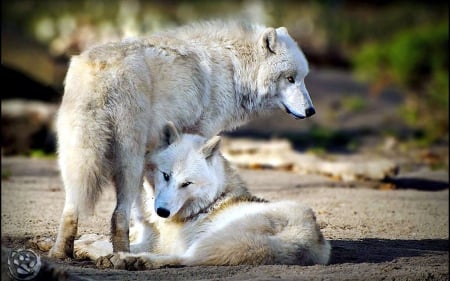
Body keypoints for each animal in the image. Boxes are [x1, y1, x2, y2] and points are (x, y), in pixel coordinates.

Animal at [50, 20, 316, 258]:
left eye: (303, 77)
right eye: (290, 78)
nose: (311, 111)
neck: (234, 69)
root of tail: (101, 67)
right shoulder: (200, 134)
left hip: (75, 158)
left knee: (71, 210)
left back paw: (60, 253)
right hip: (128, 161)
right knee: (118, 215)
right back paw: (122, 256)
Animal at [74, 122, 330, 266]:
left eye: (187, 183)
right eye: (166, 175)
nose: (162, 211)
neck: (208, 202)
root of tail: (305, 239)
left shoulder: (156, 243)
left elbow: (105, 245)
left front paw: (88, 248)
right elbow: (101, 237)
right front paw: (80, 240)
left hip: (208, 241)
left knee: (184, 259)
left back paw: (133, 261)